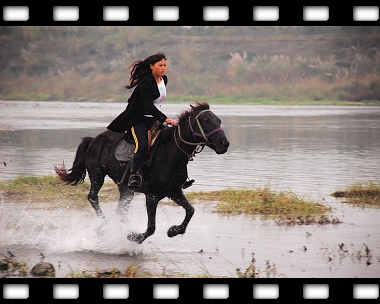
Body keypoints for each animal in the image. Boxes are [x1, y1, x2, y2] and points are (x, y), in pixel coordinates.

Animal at [54, 101, 229, 243]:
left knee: (121, 210)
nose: (224, 144)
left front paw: (173, 231)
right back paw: (104, 223)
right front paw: (135, 237)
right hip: (97, 175)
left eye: (219, 121)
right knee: (93, 197)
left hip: (125, 188)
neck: (170, 154)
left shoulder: (174, 191)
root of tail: (93, 139)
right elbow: (151, 228)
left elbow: (190, 211)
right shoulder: (152, 196)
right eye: (205, 121)